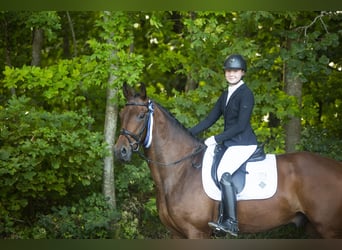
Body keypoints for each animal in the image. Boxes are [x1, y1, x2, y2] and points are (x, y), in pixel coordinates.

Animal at [113, 83, 342, 239]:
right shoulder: (176, 234)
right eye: (122, 113)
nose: (120, 151)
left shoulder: (197, 233)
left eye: (141, 115)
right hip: (313, 229)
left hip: (329, 229)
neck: (180, 171)